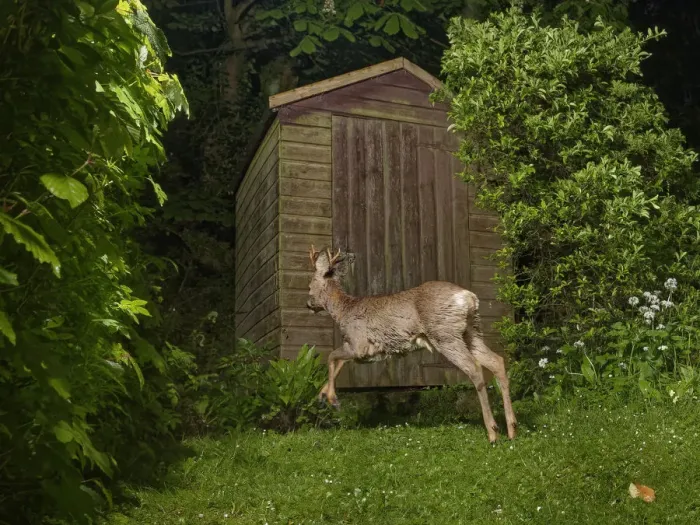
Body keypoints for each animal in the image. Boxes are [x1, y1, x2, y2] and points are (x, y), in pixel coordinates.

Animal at [306, 245, 517, 442]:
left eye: (309, 285)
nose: (308, 305)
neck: (343, 311)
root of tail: (469, 297)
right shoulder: (359, 351)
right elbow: (338, 362)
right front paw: (322, 395)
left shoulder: (360, 344)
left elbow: (331, 356)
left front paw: (332, 399)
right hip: (471, 332)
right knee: (497, 361)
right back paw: (512, 429)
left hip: (445, 334)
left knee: (474, 368)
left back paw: (493, 432)